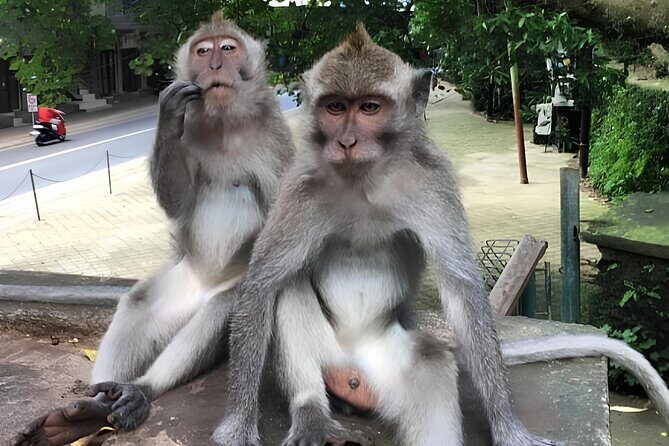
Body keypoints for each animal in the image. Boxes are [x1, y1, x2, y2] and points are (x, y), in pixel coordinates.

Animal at [13, 12, 296, 446]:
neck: (226, 122)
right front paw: (168, 115)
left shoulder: (278, 141)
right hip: (173, 286)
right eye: (204, 50)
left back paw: (141, 390)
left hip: (220, 295)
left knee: (220, 311)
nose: (216, 65)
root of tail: (194, 296)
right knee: (138, 302)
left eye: (227, 48)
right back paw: (96, 404)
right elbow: (180, 202)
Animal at [212, 23, 669, 446]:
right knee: (286, 288)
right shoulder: (299, 186)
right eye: (336, 107)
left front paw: (508, 427)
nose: (346, 141)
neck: (365, 179)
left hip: (387, 365)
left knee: (431, 358)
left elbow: (462, 288)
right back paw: (312, 415)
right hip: (330, 361)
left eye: (370, 107)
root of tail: (354, 370)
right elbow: (262, 284)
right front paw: (237, 425)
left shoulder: (433, 181)